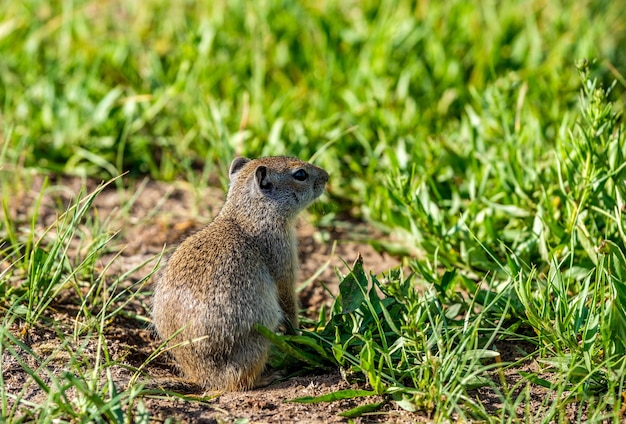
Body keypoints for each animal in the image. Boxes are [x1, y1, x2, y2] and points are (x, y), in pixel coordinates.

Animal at [152, 156, 330, 390]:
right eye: (300, 174)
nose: (327, 176)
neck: (247, 216)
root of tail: (204, 379)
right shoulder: (284, 266)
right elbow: (289, 304)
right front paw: (299, 336)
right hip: (259, 340)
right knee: (240, 381)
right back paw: (268, 376)